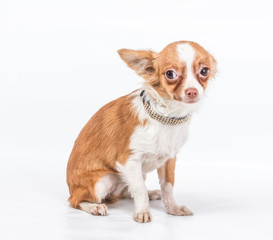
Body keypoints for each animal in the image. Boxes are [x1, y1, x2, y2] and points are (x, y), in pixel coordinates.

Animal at [67, 40, 216, 222]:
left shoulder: (169, 159)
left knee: (125, 192)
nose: (192, 91)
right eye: (170, 74)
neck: (167, 116)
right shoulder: (129, 161)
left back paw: (152, 194)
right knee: (75, 201)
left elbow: (168, 186)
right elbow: (139, 189)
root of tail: (70, 188)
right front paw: (143, 212)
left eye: (204, 71)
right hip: (104, 179)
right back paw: (95, 206)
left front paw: (173, 208)